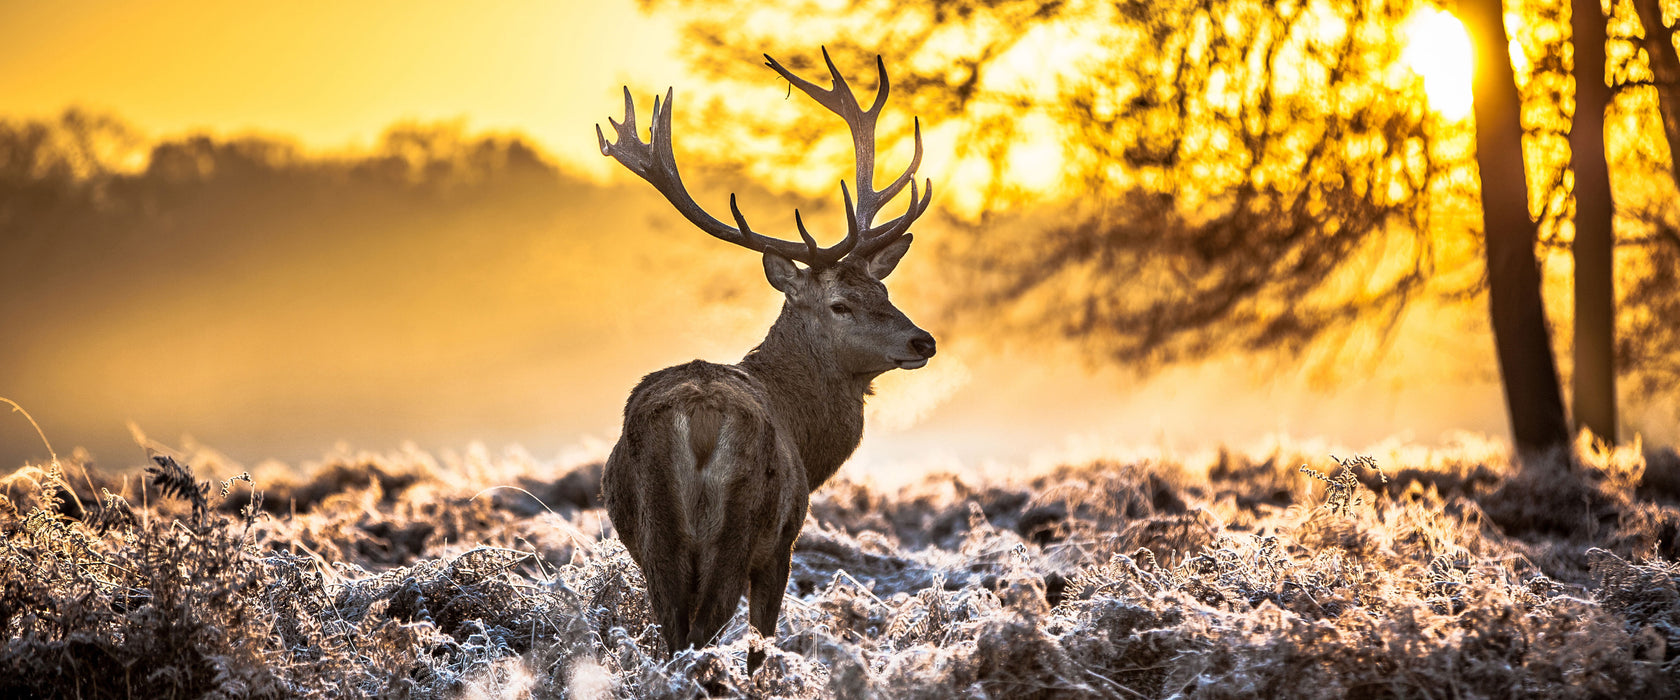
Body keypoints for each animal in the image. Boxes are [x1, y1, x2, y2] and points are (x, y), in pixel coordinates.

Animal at [594, 49, 940, 671]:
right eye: (840, 304)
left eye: (883, 291)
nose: (922, 341)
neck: (805, 435)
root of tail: (698, 421)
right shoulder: (783, 541)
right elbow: (763, 641)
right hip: (740, 525)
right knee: (704, 628)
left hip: (657, 533)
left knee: (672, 632)